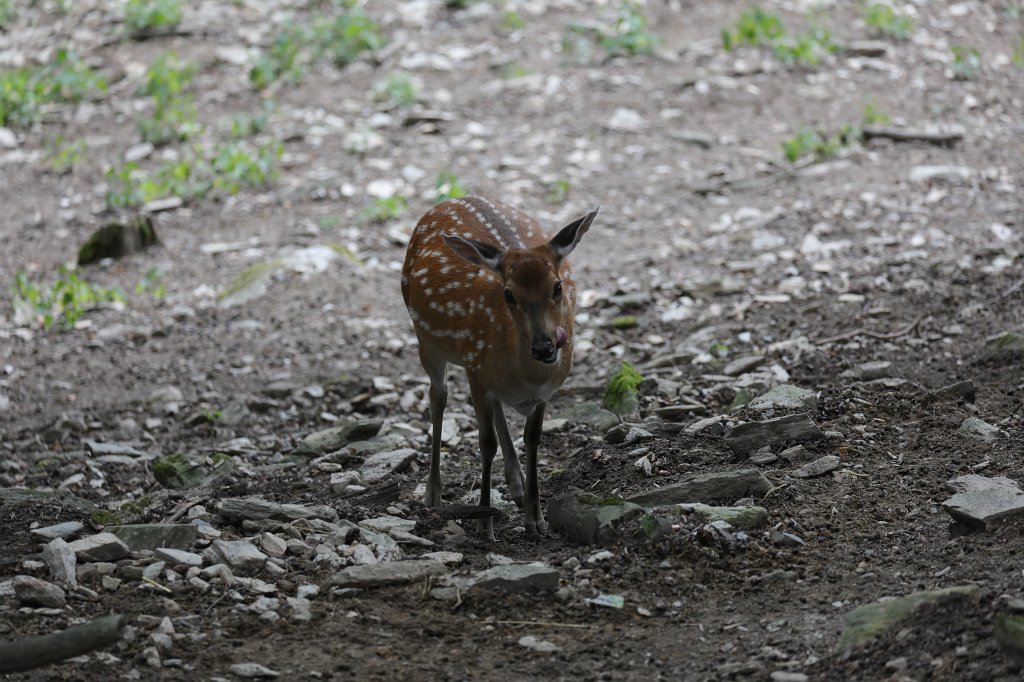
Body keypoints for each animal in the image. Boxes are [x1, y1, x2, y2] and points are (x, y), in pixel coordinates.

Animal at [401, 196, 598, 539]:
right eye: (508, 294)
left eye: (557, 286)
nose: (544, 347)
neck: (527, 377)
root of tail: (452, 199)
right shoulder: (476, 368)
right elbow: (486, 442)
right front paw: (484, 522)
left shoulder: (544, 391)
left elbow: (533, 437)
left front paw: (536, 519)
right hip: (427, 341)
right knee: (438, 396)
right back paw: (433, 492)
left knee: (492, 408)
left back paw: (517, 483)